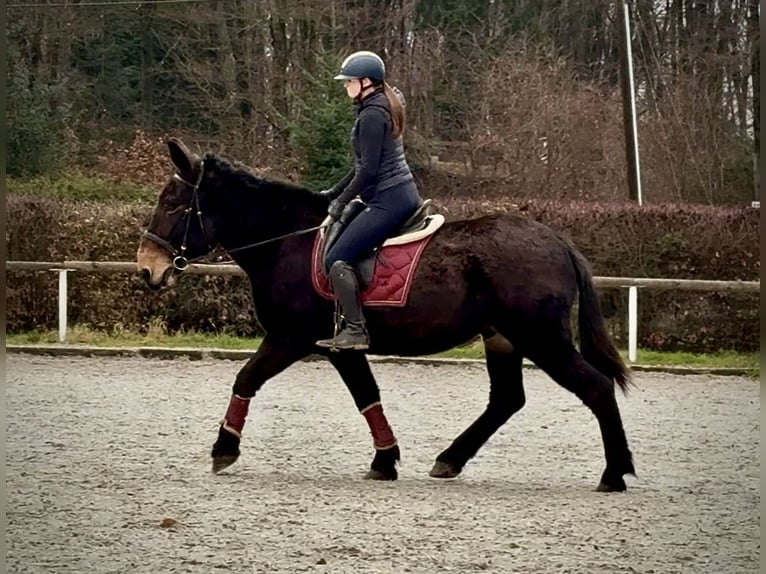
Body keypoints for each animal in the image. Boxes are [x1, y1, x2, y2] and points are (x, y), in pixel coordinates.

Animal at [137, 138, 636, 492]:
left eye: (174, 204)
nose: (147, 268)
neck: (287, 241)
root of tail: (557, 241)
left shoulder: (293, 338)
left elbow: (247, 378)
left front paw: (224, 449)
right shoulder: (336, 346)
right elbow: (367, 396)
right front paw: (385, 459)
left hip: (541, 338)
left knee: (595, 386)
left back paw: (614, 473)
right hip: (503, 337)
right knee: (507, 399)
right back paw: (450, 459)